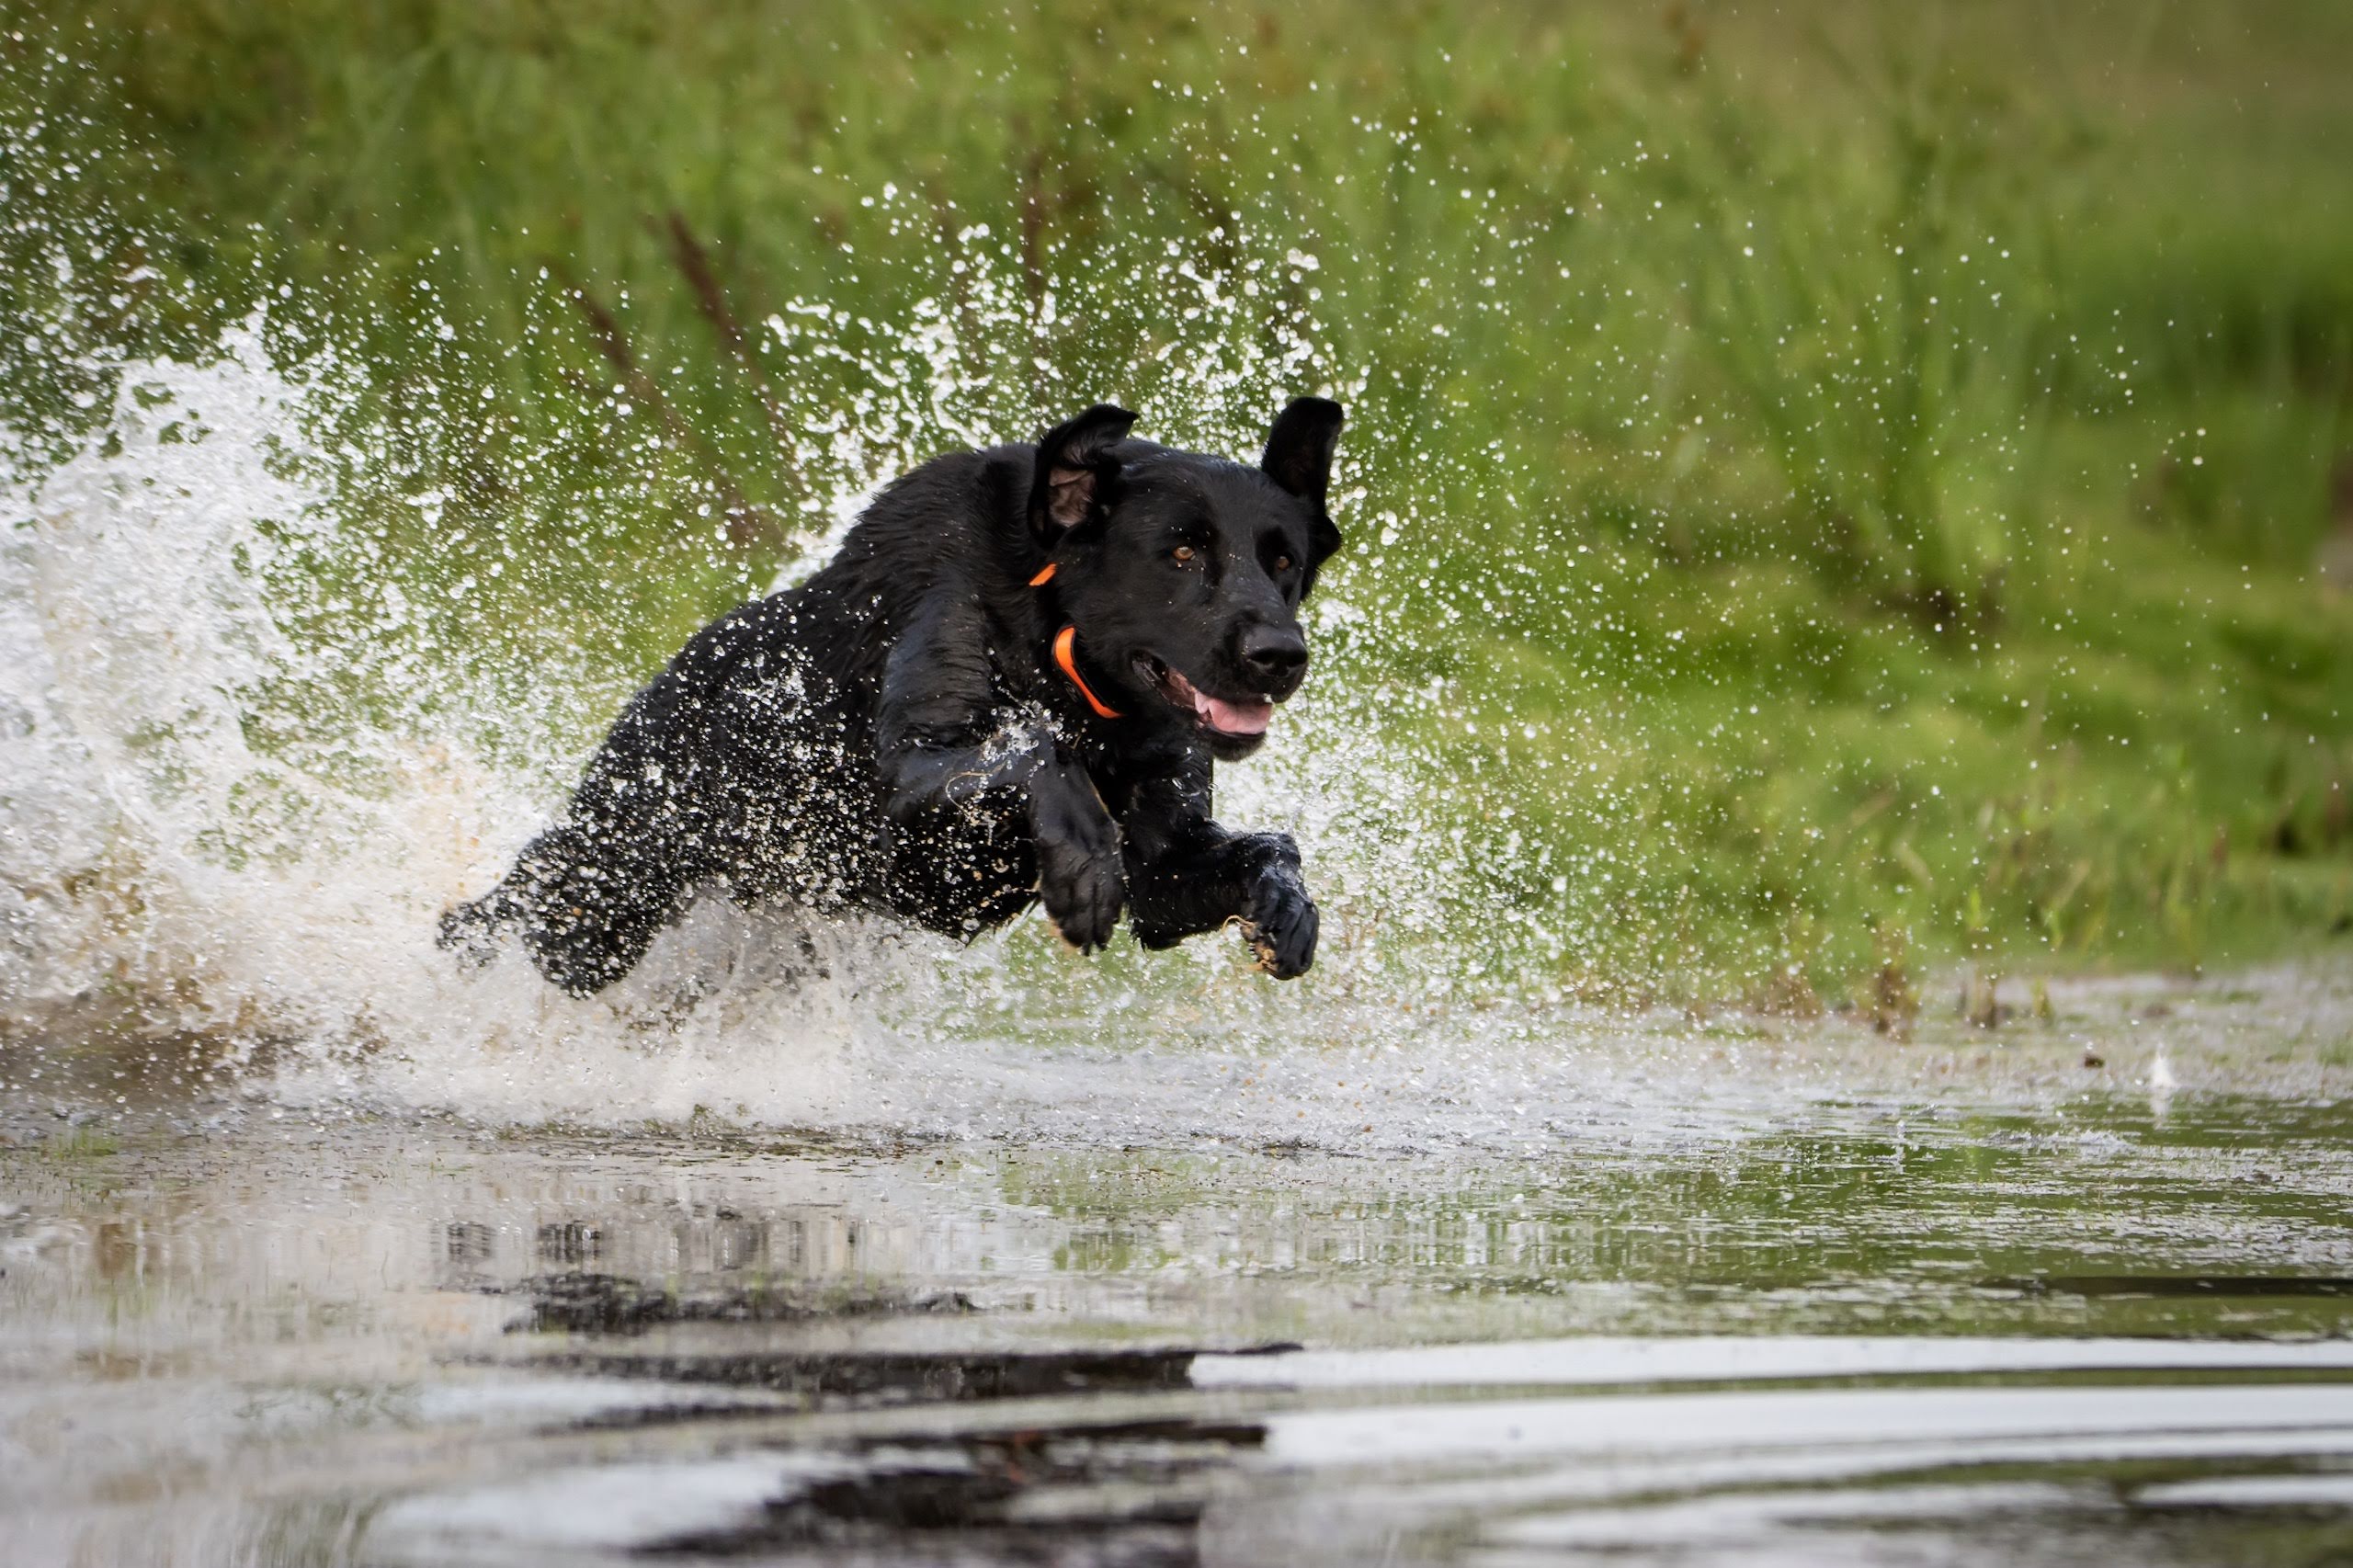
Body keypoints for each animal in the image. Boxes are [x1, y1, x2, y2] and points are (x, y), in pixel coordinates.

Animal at [442, 392, 1355, 988]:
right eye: (1182, 552)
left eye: (1282, 561)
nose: (1281, 655)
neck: (1065, 669)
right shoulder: (901, 807)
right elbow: (1032, 749)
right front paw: (1084, 862)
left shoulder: (1164, 879)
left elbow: (1266, 848)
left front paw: (1287, 908)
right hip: (600, 906)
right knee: (501, 922)